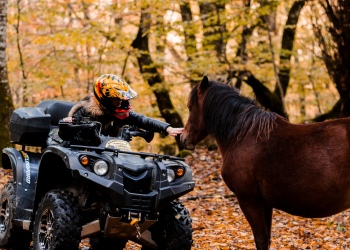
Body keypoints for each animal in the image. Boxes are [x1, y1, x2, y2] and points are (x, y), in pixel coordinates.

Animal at [180, 76, 350, 250]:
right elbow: (267, 239)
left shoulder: (249, 200)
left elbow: (261, 240)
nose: (183, 138)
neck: (242, 135)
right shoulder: (266, 203)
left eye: (190, 107)